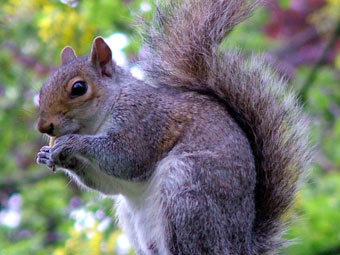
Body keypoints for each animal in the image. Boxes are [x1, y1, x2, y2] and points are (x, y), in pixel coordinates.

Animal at [35, 0, 312, 255]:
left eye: (79, 88)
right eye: (44, 87)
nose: (43, 126)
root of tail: (241, 245)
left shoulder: (146, 121)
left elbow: (127, 158)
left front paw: (72, 143)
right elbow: (110, 183)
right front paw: (49, 155)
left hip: (186, 195)